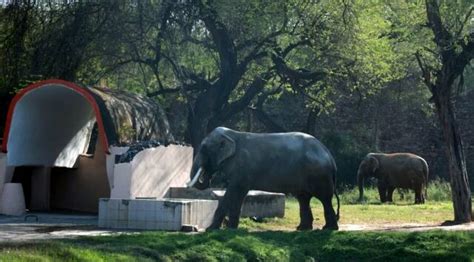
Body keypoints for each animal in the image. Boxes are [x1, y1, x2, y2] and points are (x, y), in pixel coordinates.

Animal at [187, 127, 338, 231]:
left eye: (204, 149)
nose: (208, 176)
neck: (231, 134)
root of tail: (328, 154)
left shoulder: (242, 168)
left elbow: (233, 192)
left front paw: (211, 230)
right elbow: (238, 195)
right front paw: (231, 229)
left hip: (319, 174)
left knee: (324, 198)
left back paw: (328, 229)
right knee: (303, 198)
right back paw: (302, 228)